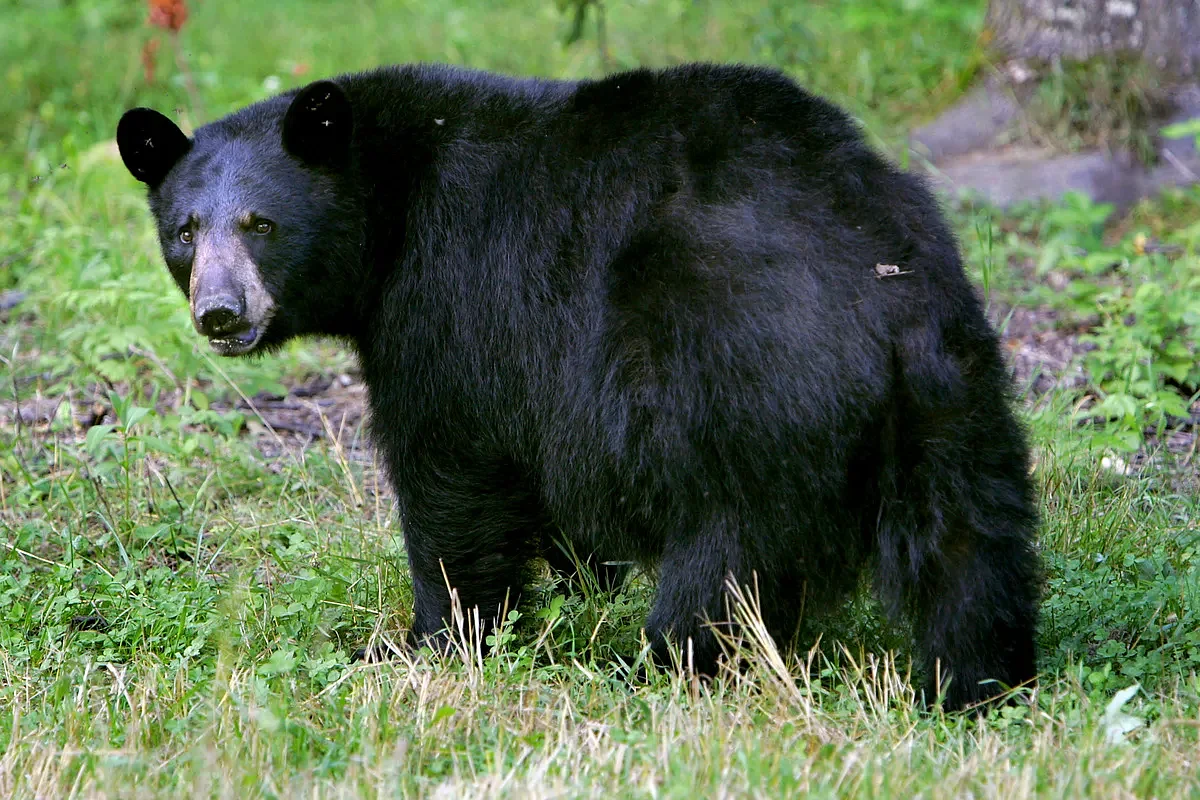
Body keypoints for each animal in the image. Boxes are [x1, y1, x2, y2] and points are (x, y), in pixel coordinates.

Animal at [116, 62, 1040, 712]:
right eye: (184, 230)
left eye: (261, 224)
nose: (221, 312)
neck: (389, 206)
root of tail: (875, 292)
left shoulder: (452, 302)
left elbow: (450, 474)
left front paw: (429, 642)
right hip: (953, 393)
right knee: (970, 546)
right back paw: (978, 684)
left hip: (745, 392)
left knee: (727, 564)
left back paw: (662, 668)